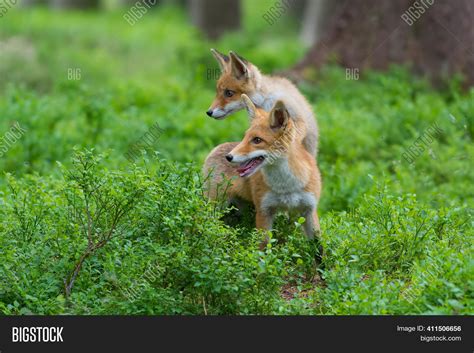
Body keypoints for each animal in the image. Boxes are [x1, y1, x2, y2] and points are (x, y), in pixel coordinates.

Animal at [204, 95, 322, 246]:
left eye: (257, 140)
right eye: (245, 137)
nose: (229, 157)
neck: (287, 186)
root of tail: (217, 147)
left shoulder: (309, 210)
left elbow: (318, 247)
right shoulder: (264, 210)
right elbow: (263, 246)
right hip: (216, 206)